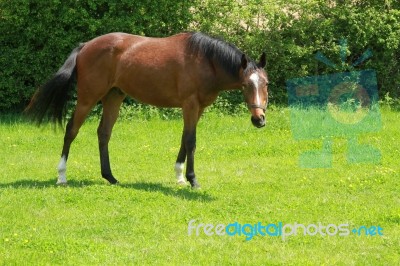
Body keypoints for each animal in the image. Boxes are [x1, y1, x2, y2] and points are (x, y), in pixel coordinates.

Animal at [25, 31, 268, 189]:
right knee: (71, 130)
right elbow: (191, 141)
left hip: (113, 97)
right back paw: (61, 176)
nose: (259, 119)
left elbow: (184, 139)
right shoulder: (190, 104)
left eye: (266, 83)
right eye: (245, 85)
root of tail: (86, 46)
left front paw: (179, 176)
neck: (205, 60)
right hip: (87, 98)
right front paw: (193, 180)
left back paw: (110, 177)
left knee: (104, 133)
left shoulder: (197, 108)